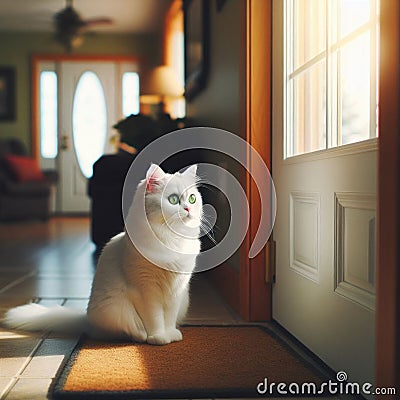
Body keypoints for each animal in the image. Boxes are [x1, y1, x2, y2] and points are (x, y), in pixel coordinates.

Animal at [2, 164, 203, 346]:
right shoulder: (146, 290)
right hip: (115, 309)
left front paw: (170, 334)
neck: (171, 239)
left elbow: (168, 317)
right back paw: (140, 335)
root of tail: (87, 320)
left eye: (192, 199)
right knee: (123, 331)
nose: (188, 209)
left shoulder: (177, 289)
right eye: (173, 199)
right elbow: (155, 317)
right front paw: (158, 337)